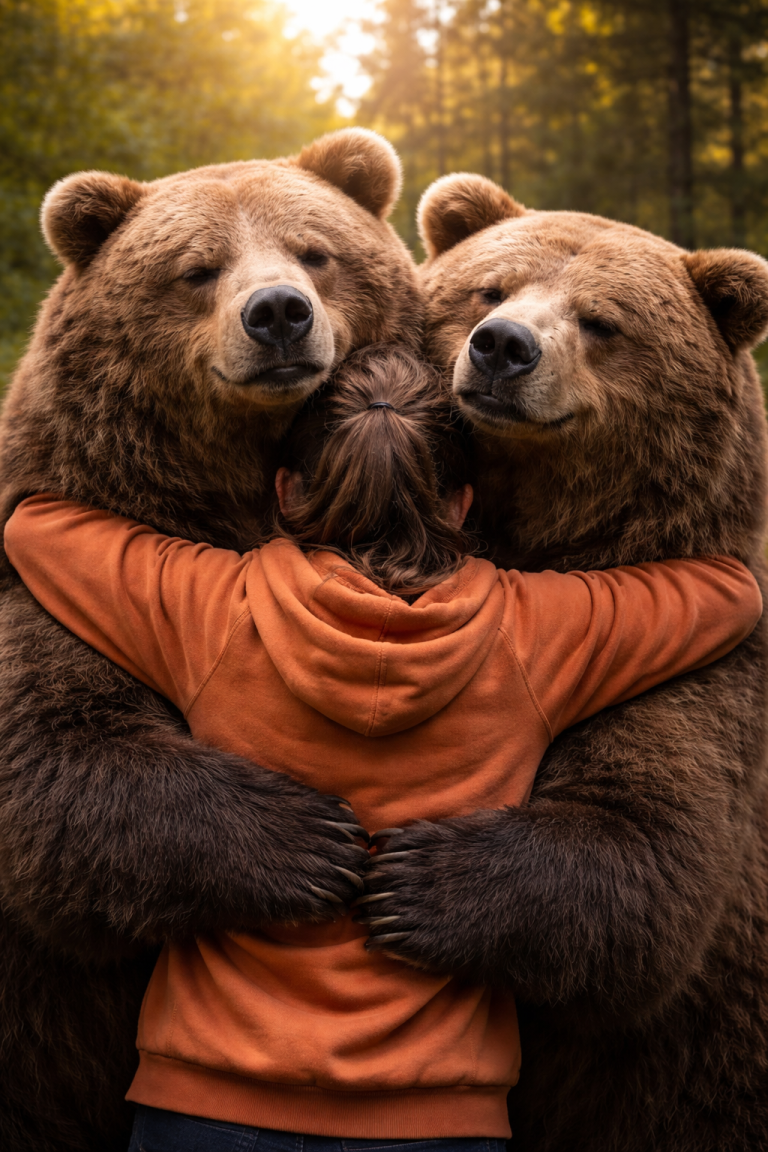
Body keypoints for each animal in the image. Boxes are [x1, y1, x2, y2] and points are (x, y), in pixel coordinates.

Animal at [0, 128, 423, 1152]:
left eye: (316, 251)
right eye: (196, 269)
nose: (278, 314)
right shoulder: (66, 531)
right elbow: (55, 738)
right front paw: (309, 840)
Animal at [361, 173, 768, 1151]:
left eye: (603, 320)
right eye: (492, 289)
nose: (503, 348)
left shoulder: (692, 647)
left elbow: (644, 834)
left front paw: (418, 882)